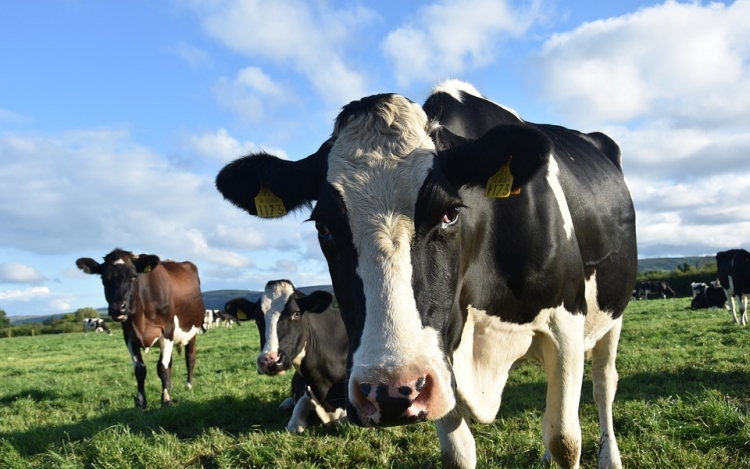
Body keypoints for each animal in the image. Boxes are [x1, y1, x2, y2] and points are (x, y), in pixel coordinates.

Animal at [76, 249, 206, 406]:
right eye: (104, 279)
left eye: (133, 276)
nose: (117, 308)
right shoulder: (129, 336)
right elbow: (140, 370)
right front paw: (141, 401)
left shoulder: (167, 331)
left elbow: (162, 367)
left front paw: (166, 399)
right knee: (170, 362)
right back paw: (170, 386)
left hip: (192, 332)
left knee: (189, 358)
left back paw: (188, 385)